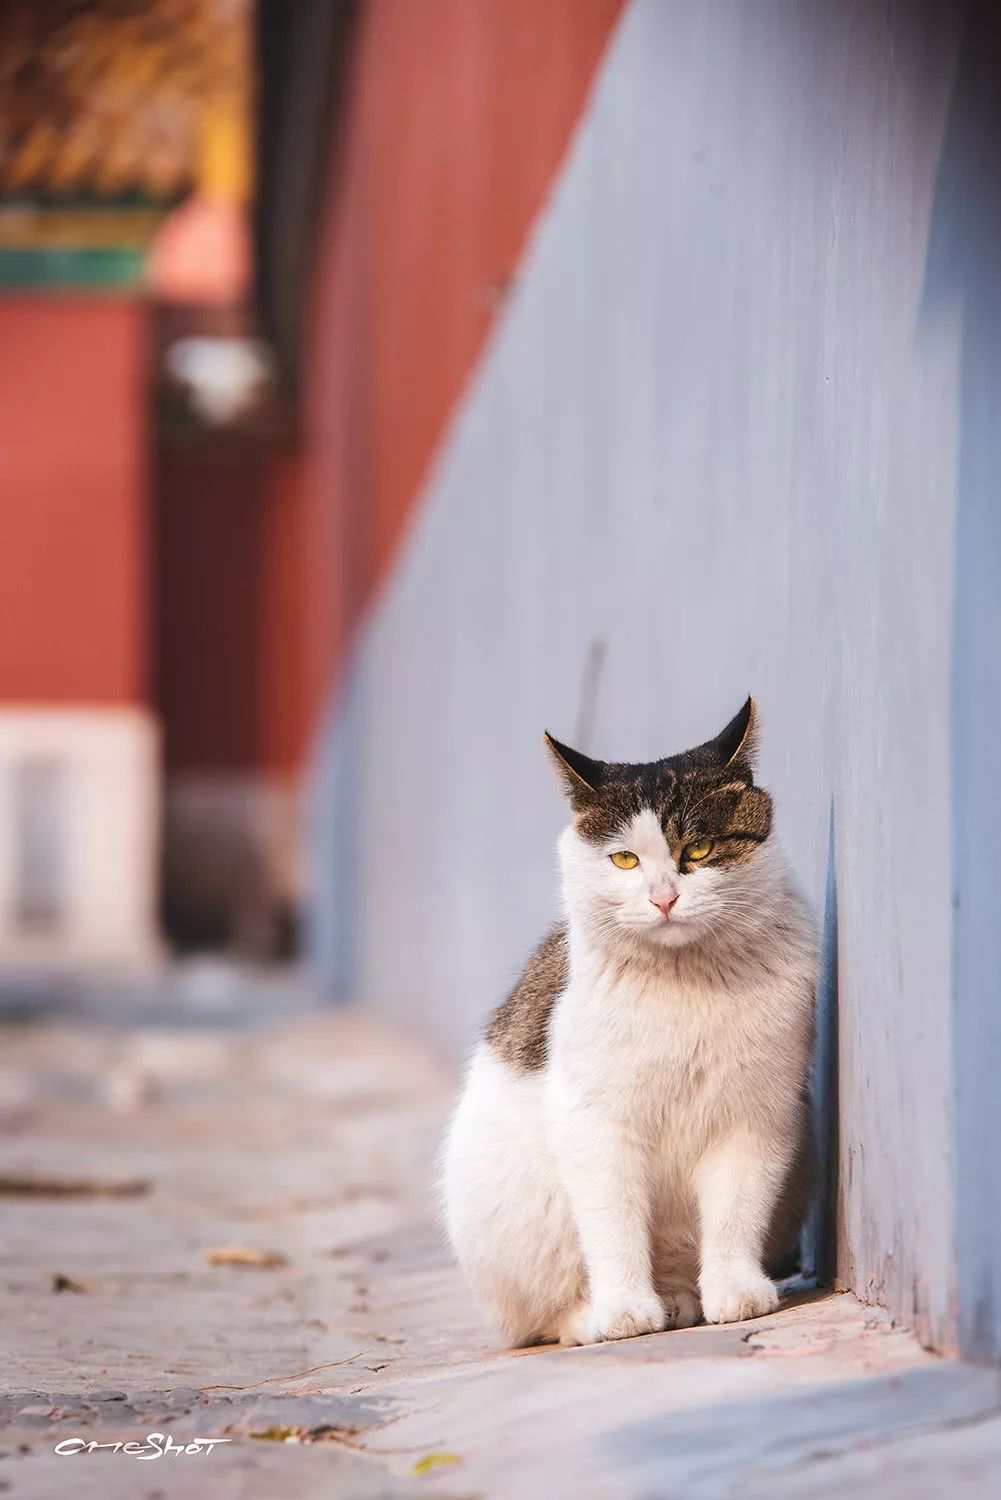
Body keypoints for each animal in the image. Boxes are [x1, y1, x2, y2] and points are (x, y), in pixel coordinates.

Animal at [441, 699, 816, 1350]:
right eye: (624, 859)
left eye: (699, 850)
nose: (664, 898)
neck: (688, 981)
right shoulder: (597, 1126)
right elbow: (613, 1224)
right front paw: (623, 1310)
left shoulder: (757, 1114)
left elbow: (736, 1212)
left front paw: (735, 1291)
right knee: (541, 1319)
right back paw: (599, 1315)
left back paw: (682, 1299)